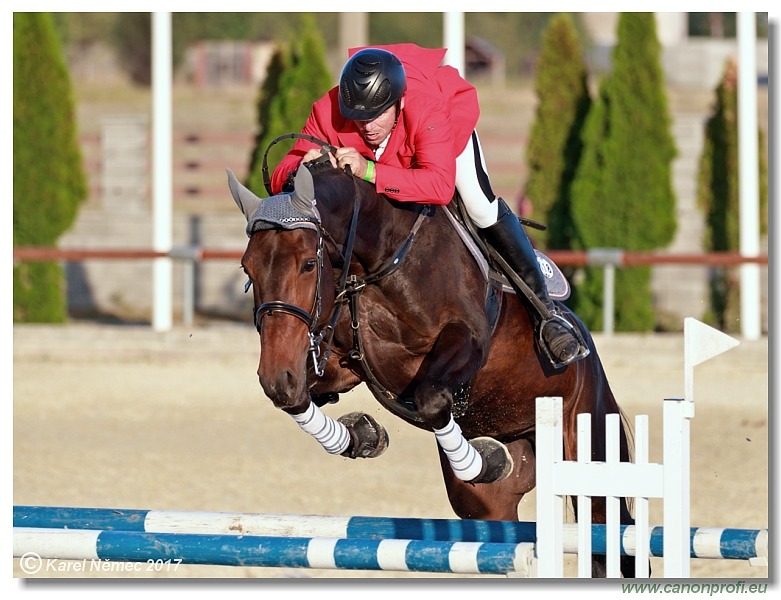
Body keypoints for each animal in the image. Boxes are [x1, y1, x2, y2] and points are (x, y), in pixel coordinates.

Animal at [229, 158, 636, 576]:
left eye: (309, 264)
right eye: (248, 269)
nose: (275, 375)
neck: (379, 259)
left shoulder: (467, 341)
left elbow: (431, 399)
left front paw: (481, 461)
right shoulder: (346, 363)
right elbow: (301, 397)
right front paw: (360, 434)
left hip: (588, 445)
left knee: (614, 532)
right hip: (491, 499)